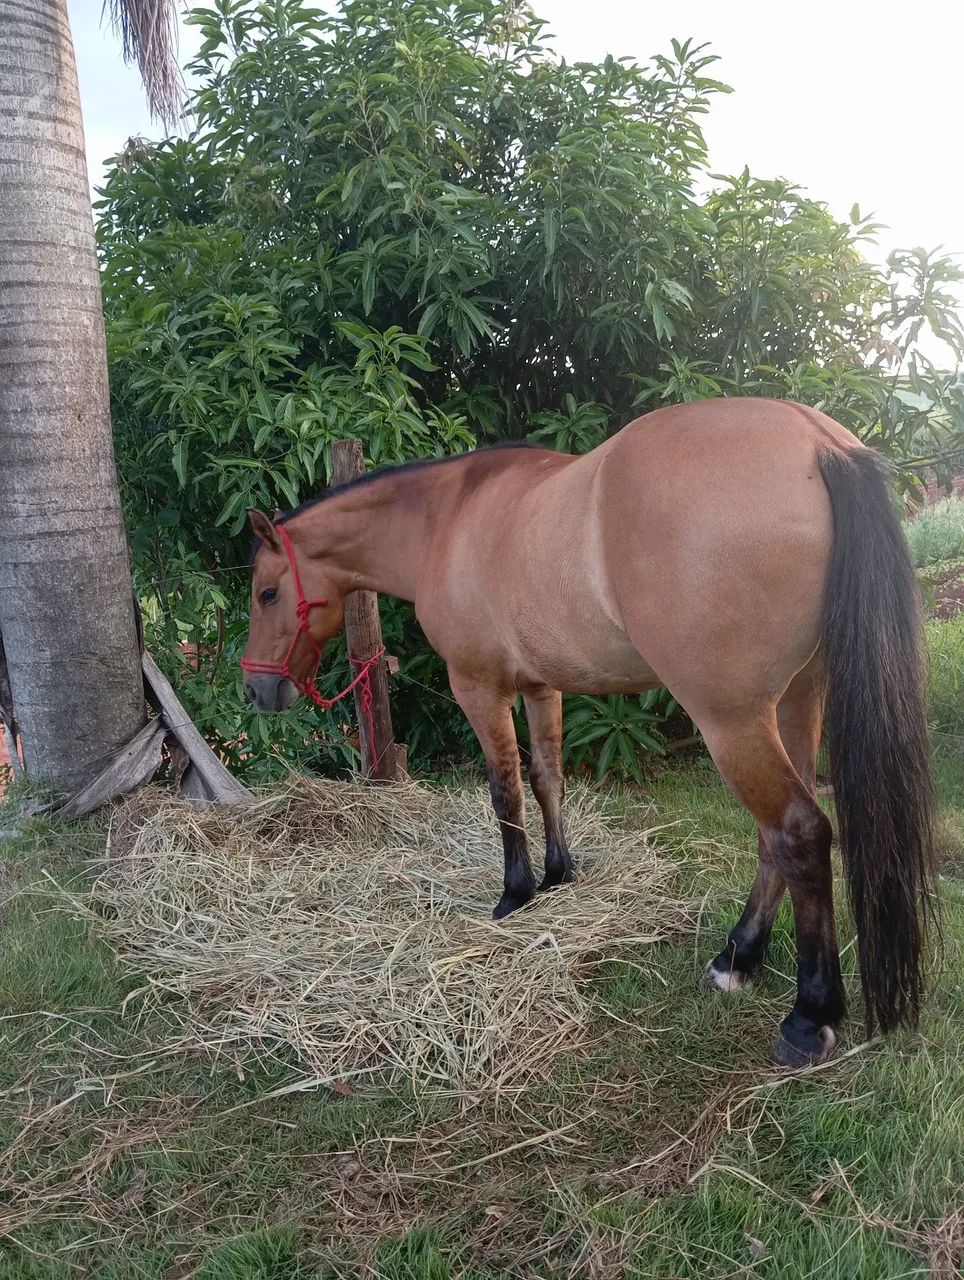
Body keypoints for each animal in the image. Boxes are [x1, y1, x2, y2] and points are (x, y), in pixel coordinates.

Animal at [242, 397, 936, 1067]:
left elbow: (505, 790)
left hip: (732, 721)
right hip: (797, 699)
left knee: (798, 832)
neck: (448, 517)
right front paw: (559, 873)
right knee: (778, 836)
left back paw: (808, 1017)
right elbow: (547, 777)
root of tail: (818, 441)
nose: (256, 689)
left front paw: (516, 893)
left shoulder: (479, 687)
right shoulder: (538, 686)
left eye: (268, 593)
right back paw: (737, 957)